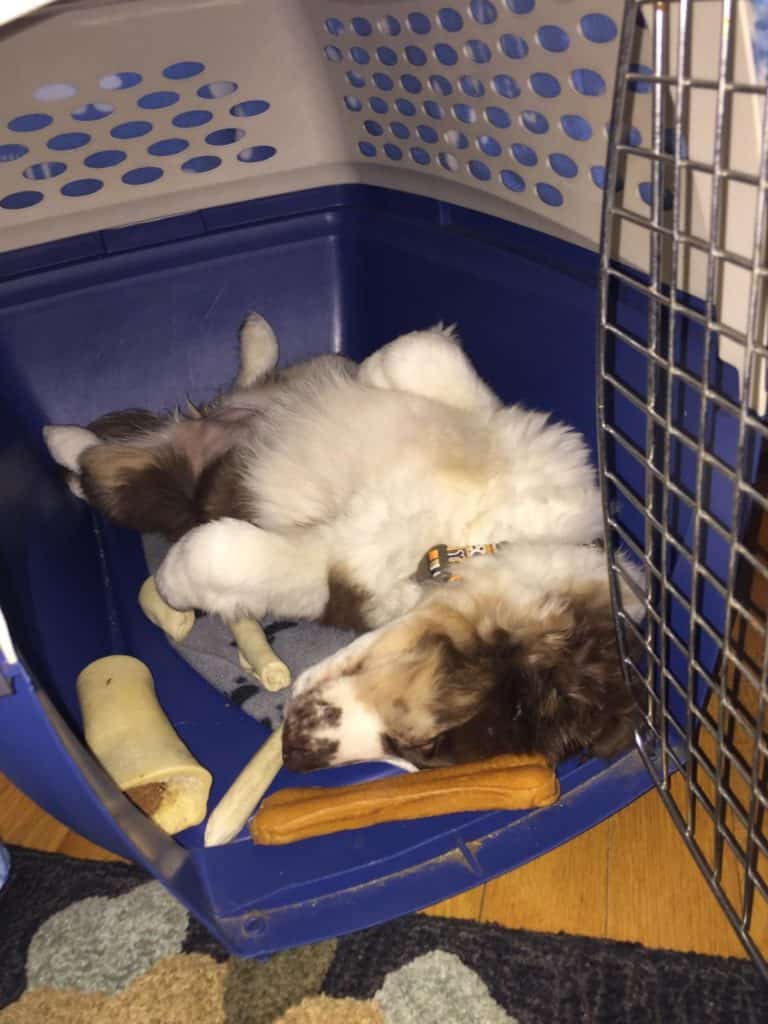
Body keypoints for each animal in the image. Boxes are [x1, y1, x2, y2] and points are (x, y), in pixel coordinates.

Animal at [43, 315, 643, 770]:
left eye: (424, 750)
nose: (292, 754)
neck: (485, 533)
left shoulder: (334, 567)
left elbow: (224, 552)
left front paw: (171, 588)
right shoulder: (495, 421)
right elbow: (422, 352)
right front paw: (372, 369)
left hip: (156, 485)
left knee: (106, 470)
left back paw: (62, 447)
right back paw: (256, 338)